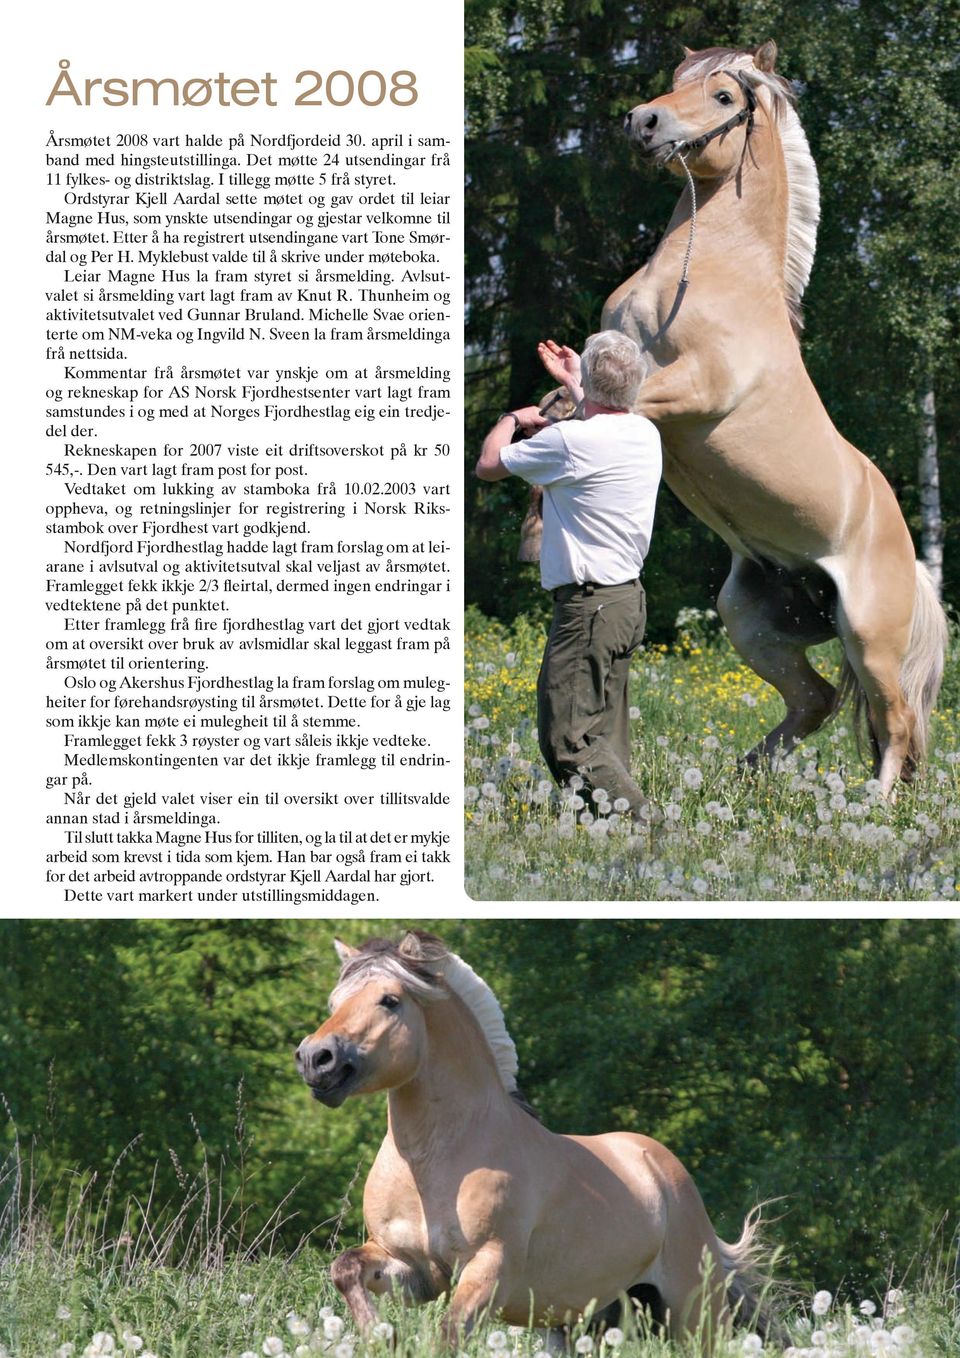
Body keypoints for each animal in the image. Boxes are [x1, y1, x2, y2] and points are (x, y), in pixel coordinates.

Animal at [296, 934, 776, 1347]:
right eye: (335, 1002)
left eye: (390, 1000)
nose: (316, 1059)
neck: (433, 1162)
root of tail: (667, 1172)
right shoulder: (414, 1269)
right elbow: (344, 1269)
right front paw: (383, 1336)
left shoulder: (488, 1269)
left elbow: (448, 1336)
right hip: (583, 1320)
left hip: (695, 1315)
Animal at [605, 39, 950, 793]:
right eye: (676, 81)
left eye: (724, 97)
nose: (643, 123)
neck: (719, 274)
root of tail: (914, 562)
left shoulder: (692, 389)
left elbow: (614, 401)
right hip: (753, 621)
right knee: (816, 699)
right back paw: (739, 778)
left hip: (870, 636)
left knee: (894, 720)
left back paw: (871, 806)